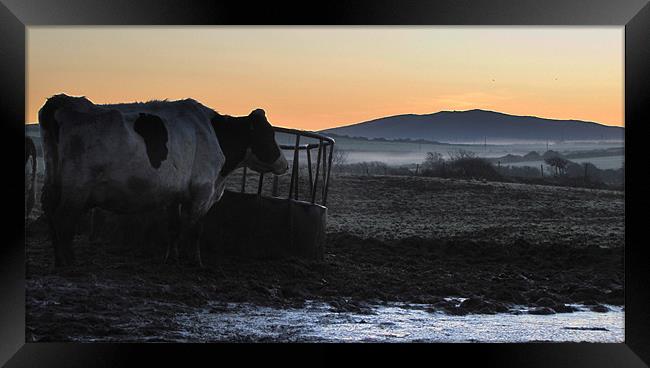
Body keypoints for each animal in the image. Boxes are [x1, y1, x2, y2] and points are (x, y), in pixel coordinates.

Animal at [38, 94, 286, 268]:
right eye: (269, 134)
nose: (284, 164)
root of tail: (61, 102)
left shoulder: (174, 194)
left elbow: (173, 227)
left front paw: (171, 258)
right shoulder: (202, 192)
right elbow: (195, 229)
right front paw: (195, 261)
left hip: (53, 181)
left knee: (51, 214)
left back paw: (59, 259)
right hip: (76, 188)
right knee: (63, 219)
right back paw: (69, 262)